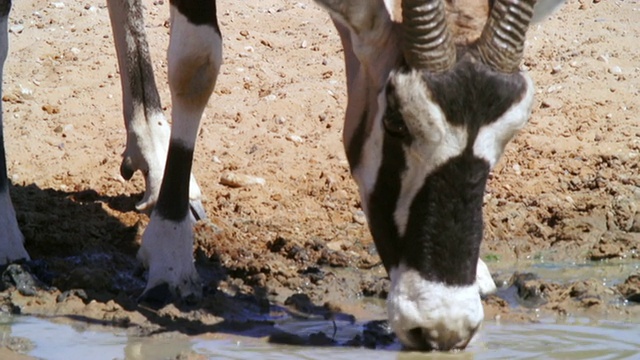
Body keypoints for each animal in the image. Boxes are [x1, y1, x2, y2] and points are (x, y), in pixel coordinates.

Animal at [0, 0, 556, 352]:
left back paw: (152, 159)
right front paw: (170, 254)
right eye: (397, 121)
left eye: (511, 132)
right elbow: (197, 63)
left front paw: (477, 271)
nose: (442, 325)